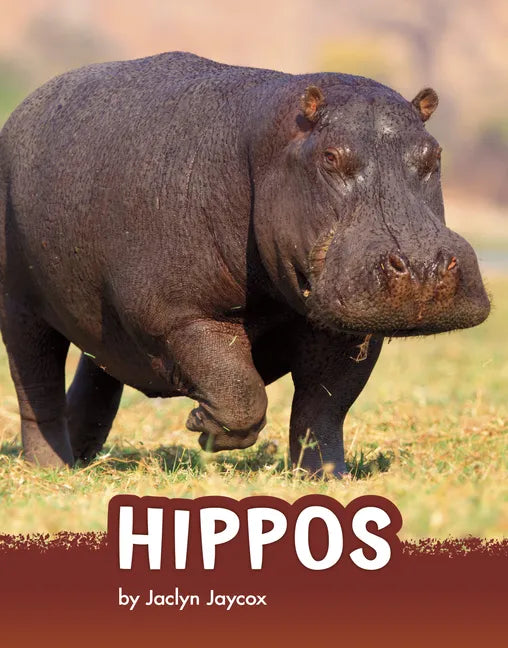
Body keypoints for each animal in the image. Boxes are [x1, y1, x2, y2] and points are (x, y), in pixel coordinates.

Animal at [0, 52, 490, 475]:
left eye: (434, 154)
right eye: (330, 156)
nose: (423, 265)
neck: (264, 149)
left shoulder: (349, 327)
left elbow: (323, 408)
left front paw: (327, 478)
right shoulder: (179, 314)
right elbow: (240, 391)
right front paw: (203, 428)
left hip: (100, 320)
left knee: (97, 371)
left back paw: (82, 457)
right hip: (21, 308)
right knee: (37, 388)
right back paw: (50, 468)